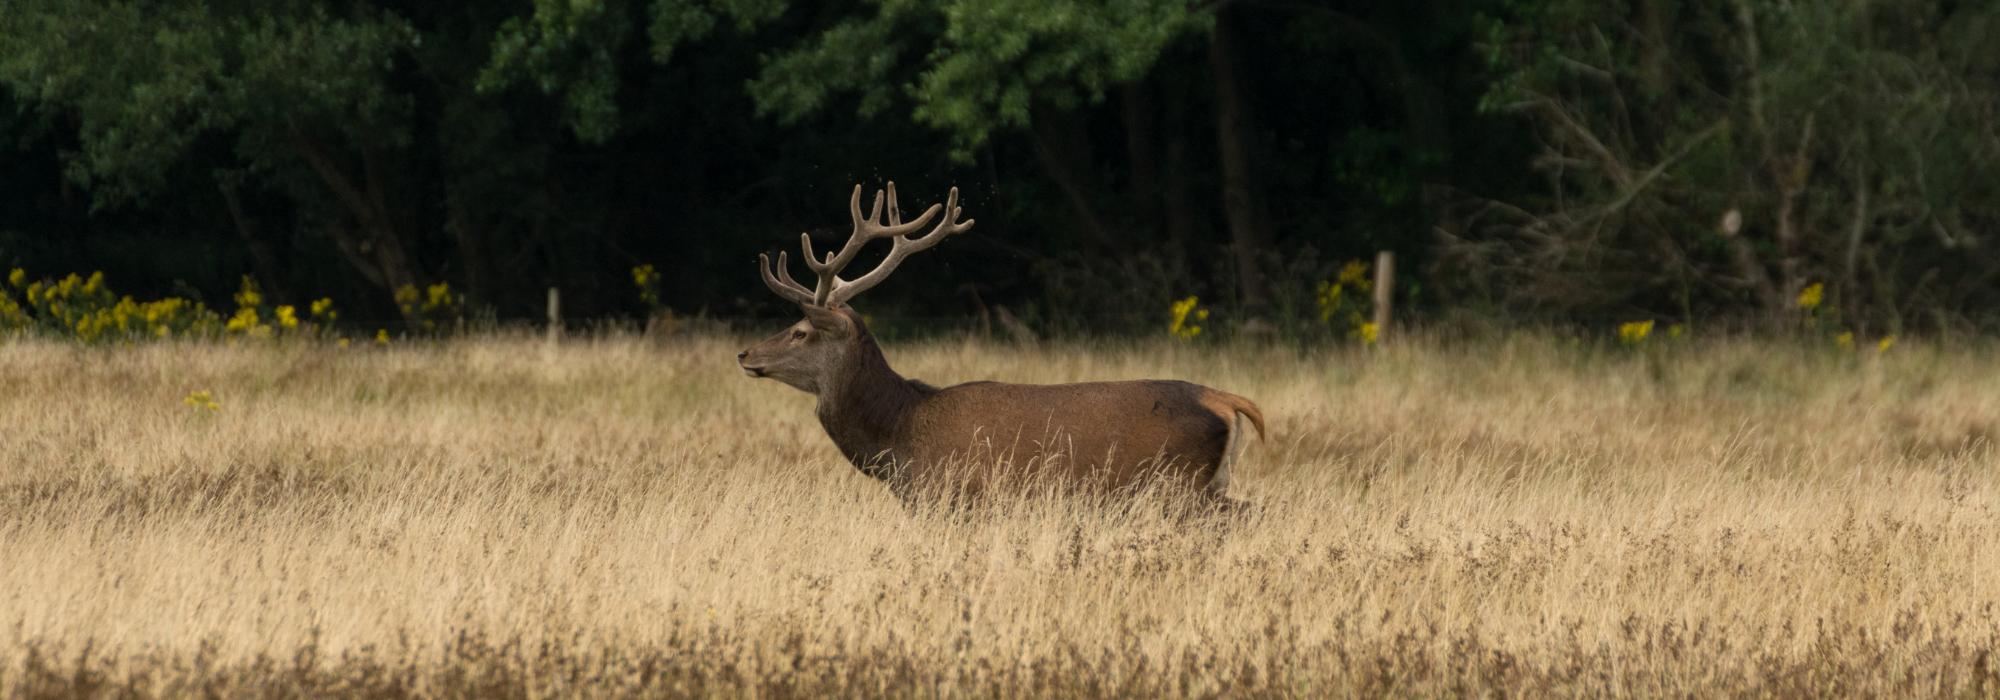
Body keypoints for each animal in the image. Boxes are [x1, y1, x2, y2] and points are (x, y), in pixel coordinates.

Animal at [736, 182, 1265, 508]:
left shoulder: (960, 498)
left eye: (801, 330)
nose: (744, 354)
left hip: (1175, 486)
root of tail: (1226, 399)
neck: (902, 439)